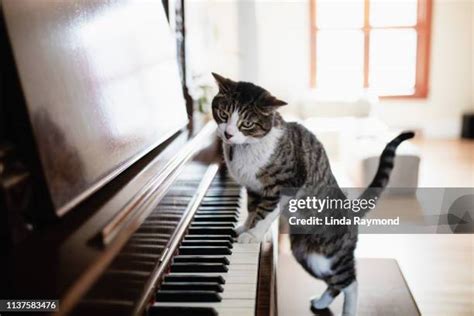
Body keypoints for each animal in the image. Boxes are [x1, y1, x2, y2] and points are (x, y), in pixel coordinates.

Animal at [212, 73, 414, 314]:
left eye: (247, 123)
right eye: (223, 114)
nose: (228, 133)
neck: (244, 150)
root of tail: (350, 212)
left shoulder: (286, 184)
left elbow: (265, 212)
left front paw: (253, 235)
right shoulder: (252, 187)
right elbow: (253, 209)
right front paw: (246, 226)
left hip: (330, 256)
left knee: (351, 282)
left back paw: (348, 310)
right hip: (306, 255)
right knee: (335, 284)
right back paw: (320, 302)